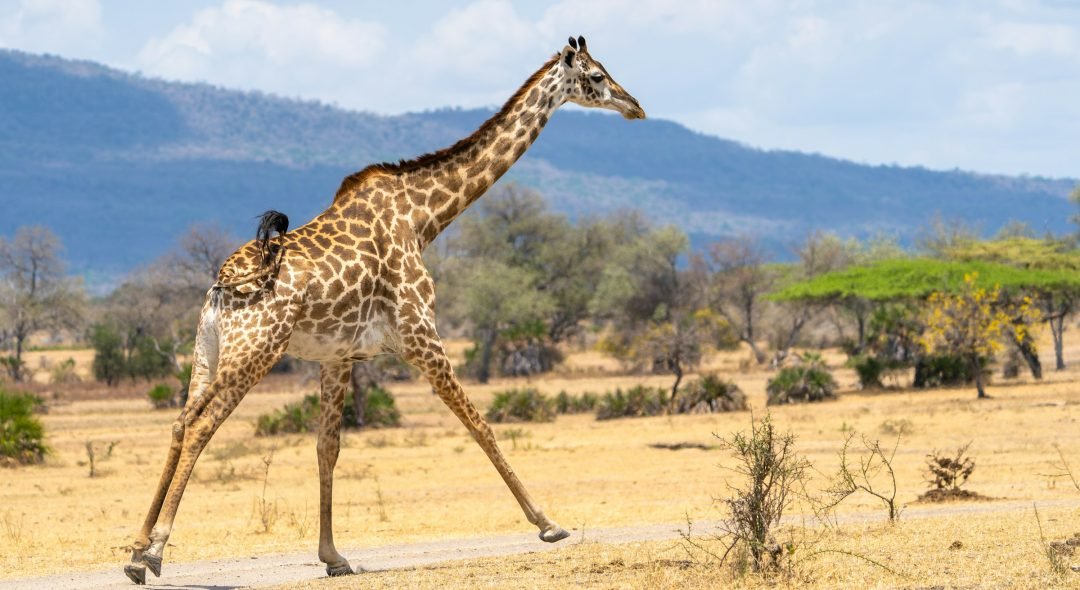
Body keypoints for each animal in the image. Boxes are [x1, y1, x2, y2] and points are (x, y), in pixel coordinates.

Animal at [123, 35, 645, 584]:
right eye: (596, 76)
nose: (635, 105)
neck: (422, 217)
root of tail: (223, 284)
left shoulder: (338, 358)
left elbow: (327, 447)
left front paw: (333, 556)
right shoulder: (421, 335)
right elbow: (479, 424)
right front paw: (548, 523)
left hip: (209, 351)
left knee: (180, 422)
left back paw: (136, 550)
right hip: (256, 350)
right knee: (201, 426)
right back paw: (154, 552)